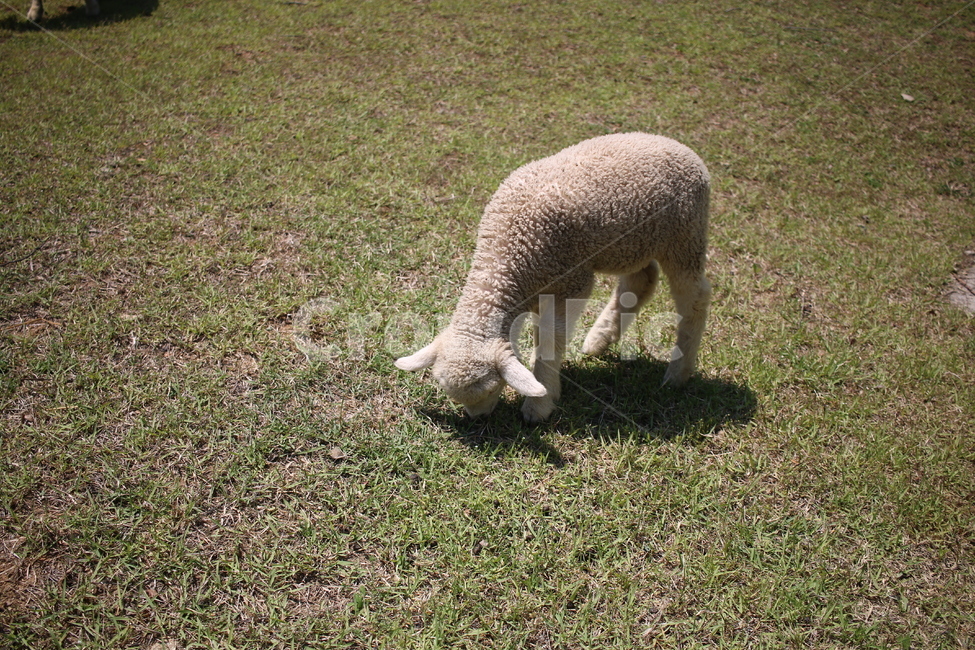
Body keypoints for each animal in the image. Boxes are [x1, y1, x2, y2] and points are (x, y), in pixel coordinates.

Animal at [395, 132, 711, 423]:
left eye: (491, 389)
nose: (478, 419)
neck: (506, 260)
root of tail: (677, 145)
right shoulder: (534, 286)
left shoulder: (571, 283)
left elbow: (550, 338)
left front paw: (540, 404)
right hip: (631, 243)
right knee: (641, 281)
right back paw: (599, 340)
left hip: (684, 235)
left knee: (695, 297)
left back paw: (677, 374)